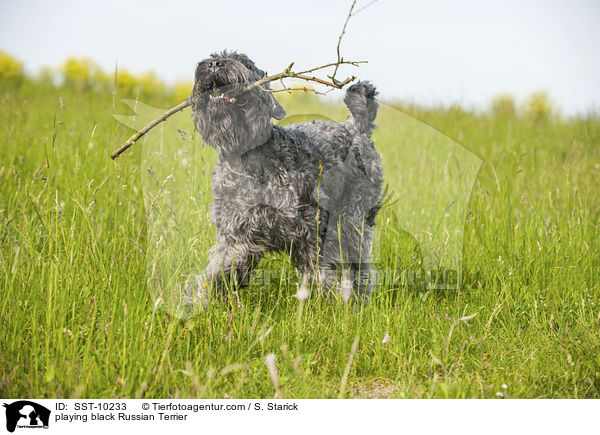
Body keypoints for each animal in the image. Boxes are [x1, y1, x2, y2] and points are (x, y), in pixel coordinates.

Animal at [188, 50, 384, 304]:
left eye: (246, 64)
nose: (214, 64)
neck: (248, 161)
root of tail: (356, 128)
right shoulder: (236, 233)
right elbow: (220, 269)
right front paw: (204, 301)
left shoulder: (313, 229)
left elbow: (323, 271)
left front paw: (328, 303)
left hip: (351, 219)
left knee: (359, 264)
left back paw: (358, 299)